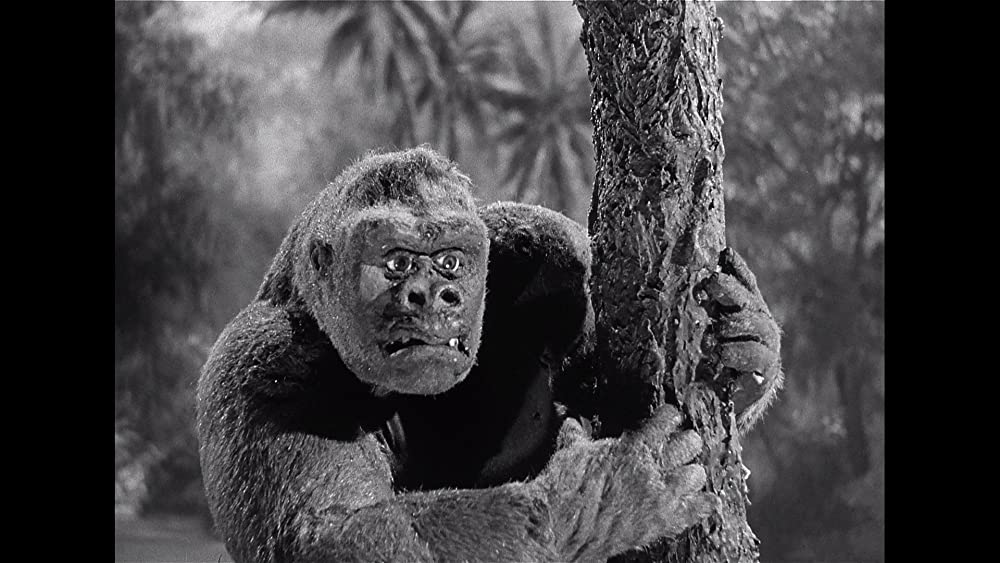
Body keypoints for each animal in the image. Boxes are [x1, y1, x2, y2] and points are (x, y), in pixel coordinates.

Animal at [197, 147, 781, 562]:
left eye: (451, 262)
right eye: (396, 262)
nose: (434, 295)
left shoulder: (548, 244)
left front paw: (752, 346)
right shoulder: (263, 366)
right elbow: (335, 533)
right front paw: (602, 495)